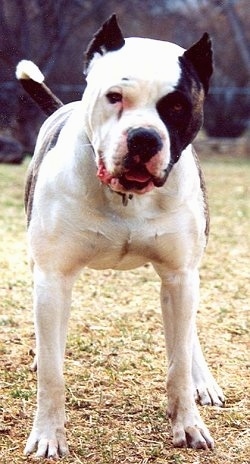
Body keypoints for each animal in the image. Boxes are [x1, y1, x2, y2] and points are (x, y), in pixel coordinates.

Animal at [16, 13, 224, 456]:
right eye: (115, 97)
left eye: (177, 106)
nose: (144, 137)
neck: (127, 196)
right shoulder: (53, 276)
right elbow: (53, 375)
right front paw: (48, 434)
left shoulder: (180, 276)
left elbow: (178, 363)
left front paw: (188, 424)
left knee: (187, 335)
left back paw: (203, 380)